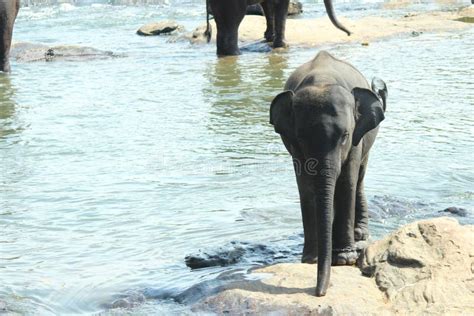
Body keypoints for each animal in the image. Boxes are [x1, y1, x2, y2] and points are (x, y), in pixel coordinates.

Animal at [206, 0, 350, 56]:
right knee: (233, 21)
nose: (349, 33)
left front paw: (269, 38)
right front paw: (283, 46)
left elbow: (268, 5)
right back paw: (236, 54)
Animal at [268, 50, 386, 296]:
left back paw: (359, 235)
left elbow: (347, 181)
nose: (319, 292)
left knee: (359, 179)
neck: (322, 80)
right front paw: (310, 259)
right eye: (301, 137)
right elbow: (305, 187)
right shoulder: (292, 144)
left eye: (345, 135)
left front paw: (343, 259)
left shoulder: (356, 139)